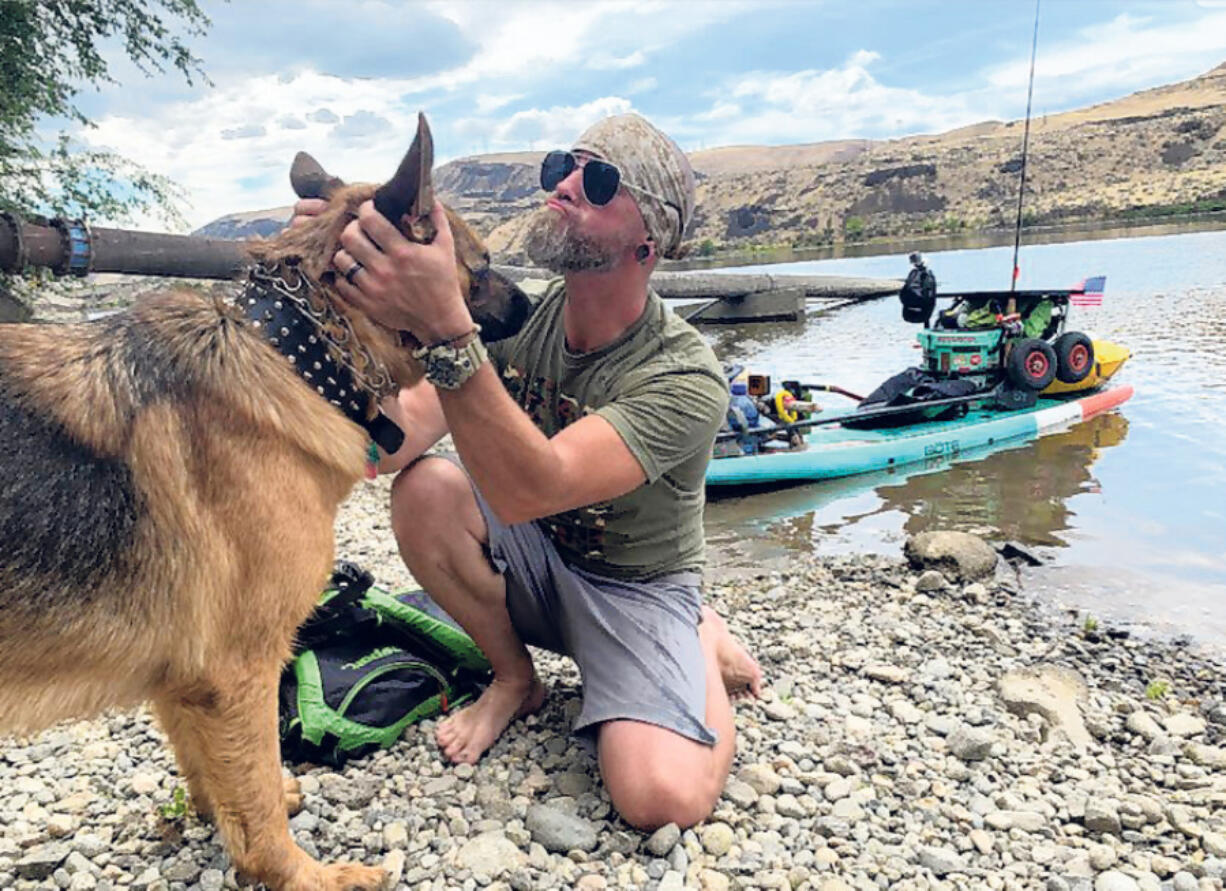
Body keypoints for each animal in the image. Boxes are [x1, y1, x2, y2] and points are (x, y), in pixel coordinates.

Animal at [0, 115, 524, 887]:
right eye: (480, 264)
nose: (533, 302)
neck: (293, 351)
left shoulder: (186, 678)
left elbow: (221, 779)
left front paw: (230, 817)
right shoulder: (238, 668)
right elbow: (257, 803)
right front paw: (305, 875)